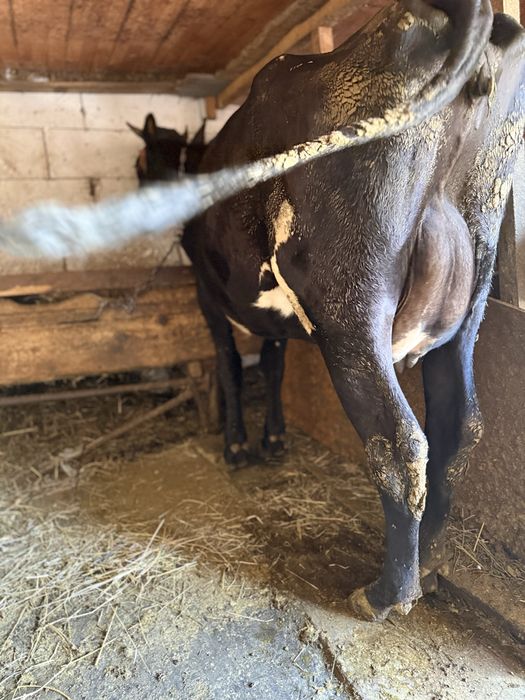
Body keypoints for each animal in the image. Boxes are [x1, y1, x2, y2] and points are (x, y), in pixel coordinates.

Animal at [0, 0, 523, 622]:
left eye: (140, 157)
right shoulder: (270, 316)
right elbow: (272, 365)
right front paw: (272, 440)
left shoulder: (208, 296)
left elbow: (230, 366)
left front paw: (236, 446)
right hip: (470, 291)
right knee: (458, 425)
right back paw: (429, 561)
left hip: (349, 307)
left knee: (399, 446)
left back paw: (386, 594)